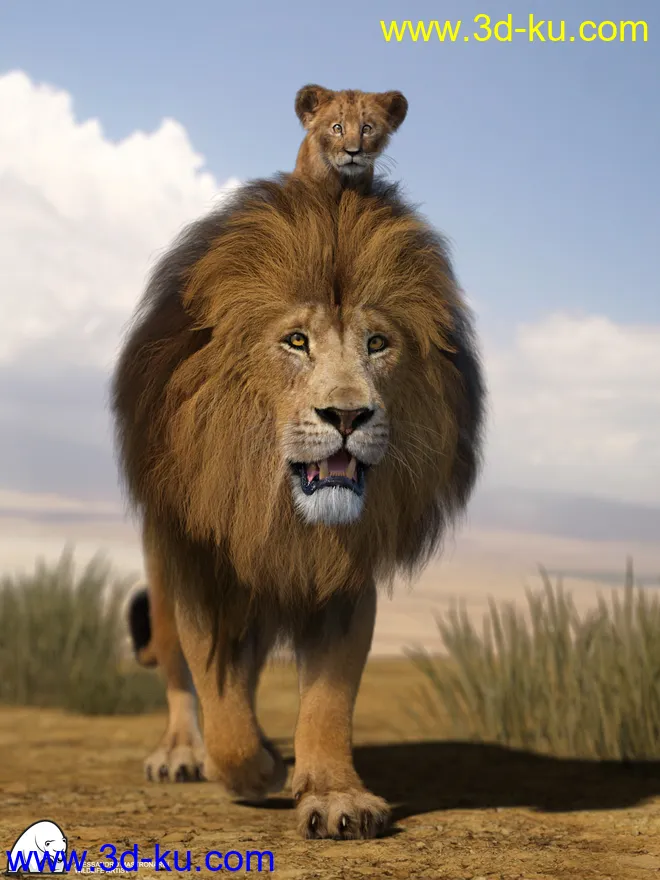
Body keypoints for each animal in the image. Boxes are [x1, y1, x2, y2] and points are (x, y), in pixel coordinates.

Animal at [114, 175, 484, 839]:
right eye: (296, 341)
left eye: (377, 344)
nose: (348, 415)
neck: (281, 516)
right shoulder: (204, 572)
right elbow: (215, 691)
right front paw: (250, 769)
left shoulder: (343, 582)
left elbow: (328, 701)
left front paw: (335, 796)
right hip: (162, 571)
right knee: (182, 678)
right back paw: (182, 753)